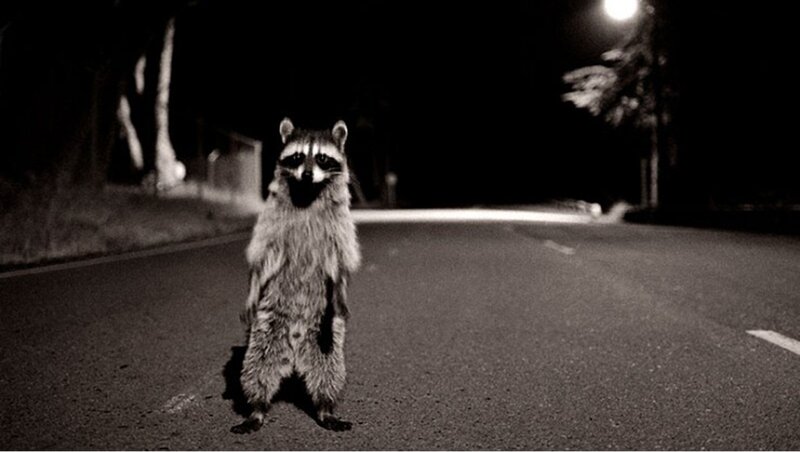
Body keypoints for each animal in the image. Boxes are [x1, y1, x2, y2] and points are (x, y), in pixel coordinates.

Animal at [232, 118, 361, 434]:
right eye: (298, 156)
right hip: (267, 326)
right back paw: (256, 407)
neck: (307, 192)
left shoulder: (340, 224)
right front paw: (252, 288)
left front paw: (341, 288)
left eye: (323, 158)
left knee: (329, 371)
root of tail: (295, 345)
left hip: (326, 332)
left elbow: (341, 259)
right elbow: (262, 254)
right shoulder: (271, 219)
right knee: (257, 368)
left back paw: (326, 406)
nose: (307, 173)